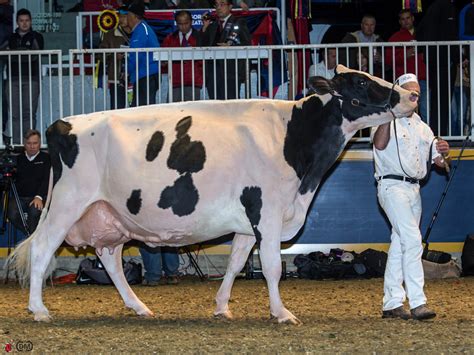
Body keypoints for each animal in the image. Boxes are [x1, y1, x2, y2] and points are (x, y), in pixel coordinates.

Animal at [8, 66, 418, 326]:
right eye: (361, 83)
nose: (410, 96)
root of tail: (62, 124)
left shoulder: (247, 221)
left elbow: (236, 264)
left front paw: (222, 307)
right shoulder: (267, 211)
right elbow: (272, 266)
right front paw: (282, 313)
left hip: (108, 215)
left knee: (109, 258)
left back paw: (139, 307)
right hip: (67, 204)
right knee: (43, 249)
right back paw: (39, 310)